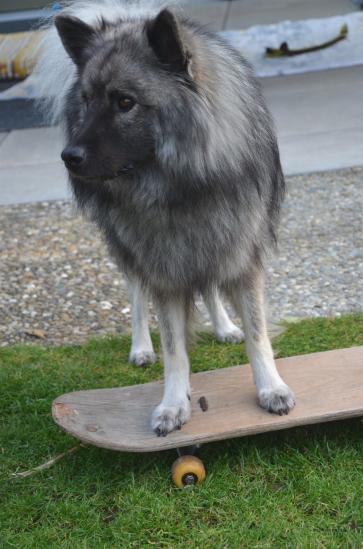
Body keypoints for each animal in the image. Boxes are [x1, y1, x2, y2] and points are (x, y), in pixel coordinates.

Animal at [35, 1, 296, 436]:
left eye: (125, 102)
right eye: (87, 100)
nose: (69, 157)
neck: (181, 185)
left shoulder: (240, 254)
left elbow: (257, 335)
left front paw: (270, 388)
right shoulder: (163, 269)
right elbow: (175, 349)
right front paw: (173, 405)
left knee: (209, 286)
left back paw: (224, 326)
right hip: (130, 251)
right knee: (137, 295)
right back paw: (141, 346)